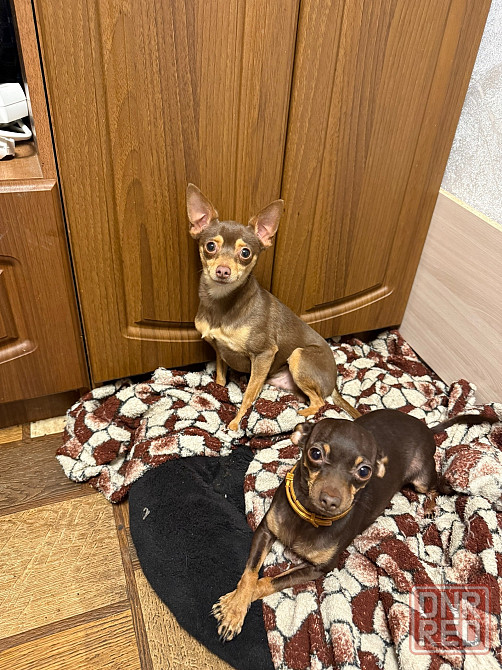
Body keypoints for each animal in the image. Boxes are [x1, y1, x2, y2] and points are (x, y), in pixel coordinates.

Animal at [187, 184, 359, 431]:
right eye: (210, 246)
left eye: (245, 253)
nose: (223, 270)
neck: (222, 303)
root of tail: (334, 381)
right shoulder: (219, 349)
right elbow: (220, 376)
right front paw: (219, 391)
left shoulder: (264, 354)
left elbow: (248, 394)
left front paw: (236, 422)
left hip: (298, 356)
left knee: (320, 402)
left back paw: (302, 414)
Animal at [212, 409, 496, 640]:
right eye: (315, 453)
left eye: (364, 471)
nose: (330, 500)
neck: (309, 516)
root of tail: (424, 426)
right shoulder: (265, 531)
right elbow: (250, 575)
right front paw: (234, 607)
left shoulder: (318, 569)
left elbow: (268, 581)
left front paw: (231, 607)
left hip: (422, 478)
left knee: (437, 486)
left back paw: (428, 507)